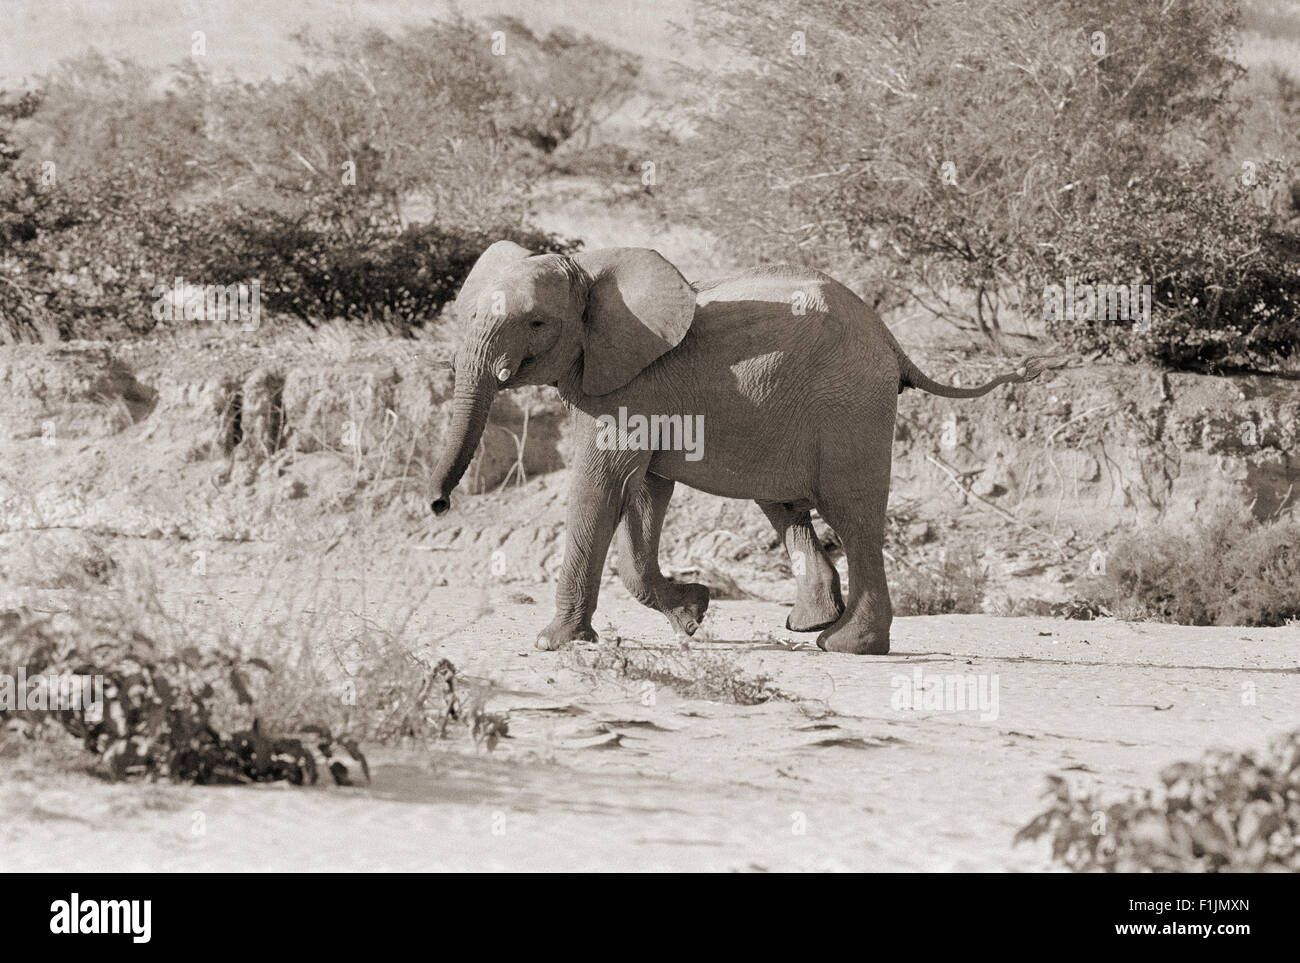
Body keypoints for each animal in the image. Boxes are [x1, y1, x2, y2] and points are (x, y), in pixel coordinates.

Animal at [431, 240, 1060, 652]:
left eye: (537, 323)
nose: (438, 505)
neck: (590, 269)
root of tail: (892, 340)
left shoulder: (631, 383)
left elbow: (599, 486)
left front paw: (554, 644)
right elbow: (644, 493)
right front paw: (692, 614)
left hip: (850, 406)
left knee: (854, 516)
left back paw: (846, 645)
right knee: (786, 503)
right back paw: (810, 626)